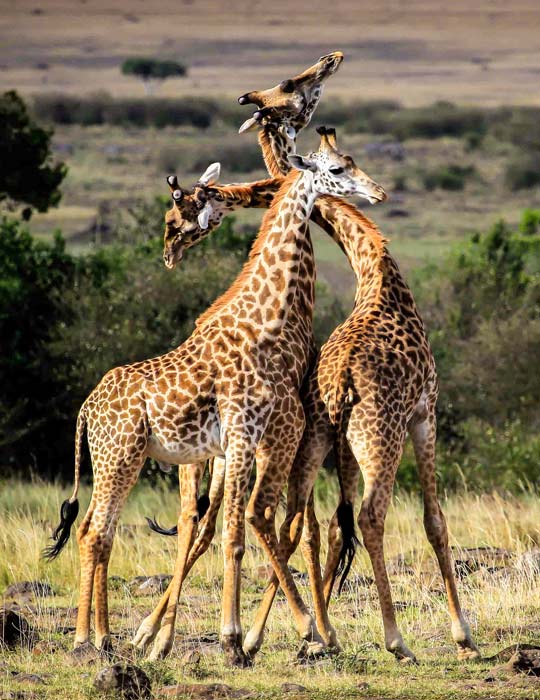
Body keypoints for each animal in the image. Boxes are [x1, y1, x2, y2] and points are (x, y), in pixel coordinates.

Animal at [44, 132, 386, 666]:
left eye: (351, 160)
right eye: (335, 169)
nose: (376, 192)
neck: (270, 319)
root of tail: (85, 409)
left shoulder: (243, 443)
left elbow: (236, 530)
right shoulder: (248, 434)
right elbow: (238, 534)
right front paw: (242, 637)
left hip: (118, 460)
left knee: (94, 532)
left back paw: (103, 637)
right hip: (120, 457)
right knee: (97, 532)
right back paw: (88, 640)